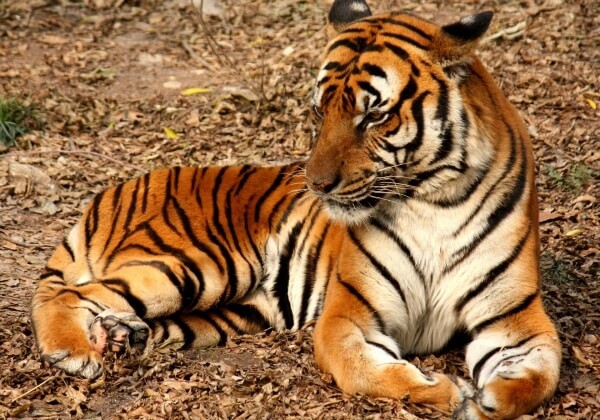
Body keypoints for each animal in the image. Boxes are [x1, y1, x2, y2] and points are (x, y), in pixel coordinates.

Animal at [30, 0, 560, 418]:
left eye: (374, 115)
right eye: (319, 111)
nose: (318, 185)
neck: (433, 200)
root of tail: (116, 189)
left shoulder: (515, 320)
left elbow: (541, 376)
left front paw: (488, 400)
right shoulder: (349, 314)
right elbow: (368, 370)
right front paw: (447, 393)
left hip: (234, 310)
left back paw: (121, 337)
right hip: (197, 264)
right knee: (70, 294)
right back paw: (72, 352)